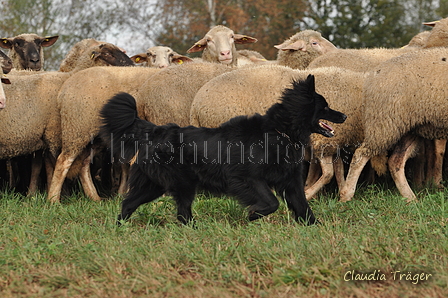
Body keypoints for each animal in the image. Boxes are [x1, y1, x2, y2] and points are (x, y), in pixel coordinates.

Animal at [46, 61, 233, 204]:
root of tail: (65, 88)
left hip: (95, 135)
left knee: (84, 164)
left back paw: (95, 197)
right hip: (78, 126)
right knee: (64, 161)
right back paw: (53, 200)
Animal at [100, 75, 346, 226]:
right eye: (324, 107)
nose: (344, 115)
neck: (279, 131)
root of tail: (156, 130)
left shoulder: (291, 181)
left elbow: (303, 206)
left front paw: (314, 227)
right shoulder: (247, 178)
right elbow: (271, 202)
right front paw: (253, 215)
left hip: (157, 184)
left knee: (132, 203)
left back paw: (121, 226)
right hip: (180, 183)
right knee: (180, 210)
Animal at [340, 47, 448, 203]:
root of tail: (373, 75)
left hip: (409, 128)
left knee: (395, 161)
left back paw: (411, 199)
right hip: (384, 123)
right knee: (360, 155)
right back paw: (346, 195)